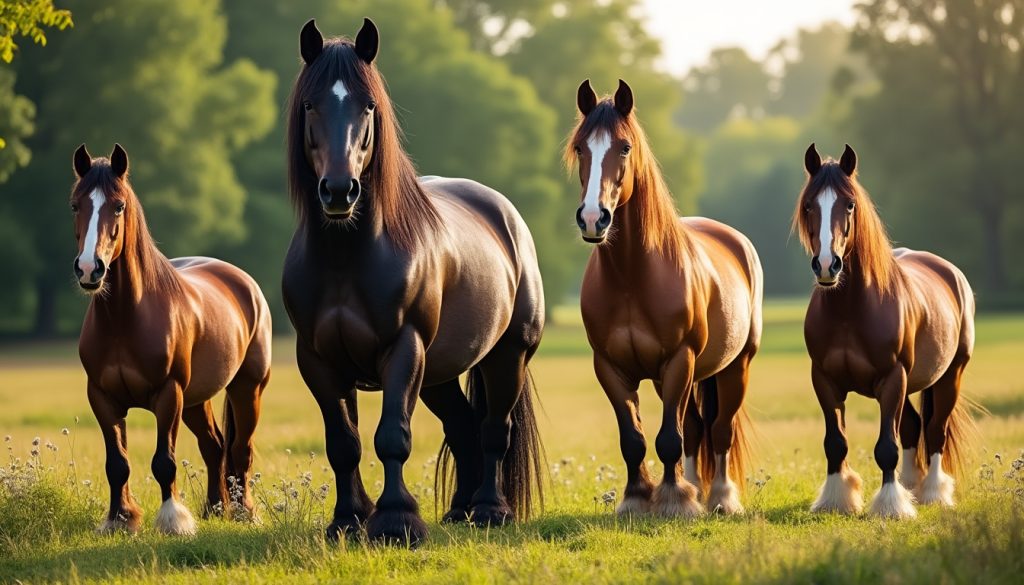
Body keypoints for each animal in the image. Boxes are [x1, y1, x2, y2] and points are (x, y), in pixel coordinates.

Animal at [71, 144, 272, 535]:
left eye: (118, 206)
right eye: (75, 205)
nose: (90, 269)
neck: (124, 319)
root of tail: (244, 282)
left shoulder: (168, 394)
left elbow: (164, 461)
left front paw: (173, 520)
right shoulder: (102, 398)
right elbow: (117, 464)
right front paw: (120, 519)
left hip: (246, 389)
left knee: (240, 451)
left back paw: (244, 512)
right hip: (196, 400)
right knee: (214, 446)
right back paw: (214, 508)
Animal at [282, 18, 545, 546]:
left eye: (368, 105)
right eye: (310, 104)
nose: (339, 191)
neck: (346, 259)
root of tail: (505, 215)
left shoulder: (403, 348)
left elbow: (392, 437)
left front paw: (396, 520)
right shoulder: (318, 360)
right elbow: (343, 443)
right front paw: (347, 520)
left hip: (506, 355)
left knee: (494, 430)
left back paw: (490, 509)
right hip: (438, 374)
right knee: (463, 427)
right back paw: (461, 510)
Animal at [566, 79, 761, 517]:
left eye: (624, 147)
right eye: (581, 147)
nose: (593, 218)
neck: (632, 278)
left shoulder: (678, 360)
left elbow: (669, 438)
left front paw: (674, 500)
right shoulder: (611, 368)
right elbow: (634, 439)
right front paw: (637, 498)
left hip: (734, 366)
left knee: (719, 430)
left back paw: (720, 498)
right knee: (694, 428)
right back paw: (696, 488)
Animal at [794, 144, 976, 518]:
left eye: (849, 204)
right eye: (808, 205)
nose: (827, 265)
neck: (849, 311)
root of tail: (951, 273)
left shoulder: (892, 379)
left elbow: (886, 447)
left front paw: (891, 506)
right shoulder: (825, 381)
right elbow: (836, 443)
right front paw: (837, 499)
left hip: (949, 376)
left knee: (935, 431)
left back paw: (933, 493)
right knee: (913, 427)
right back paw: (911, 487)